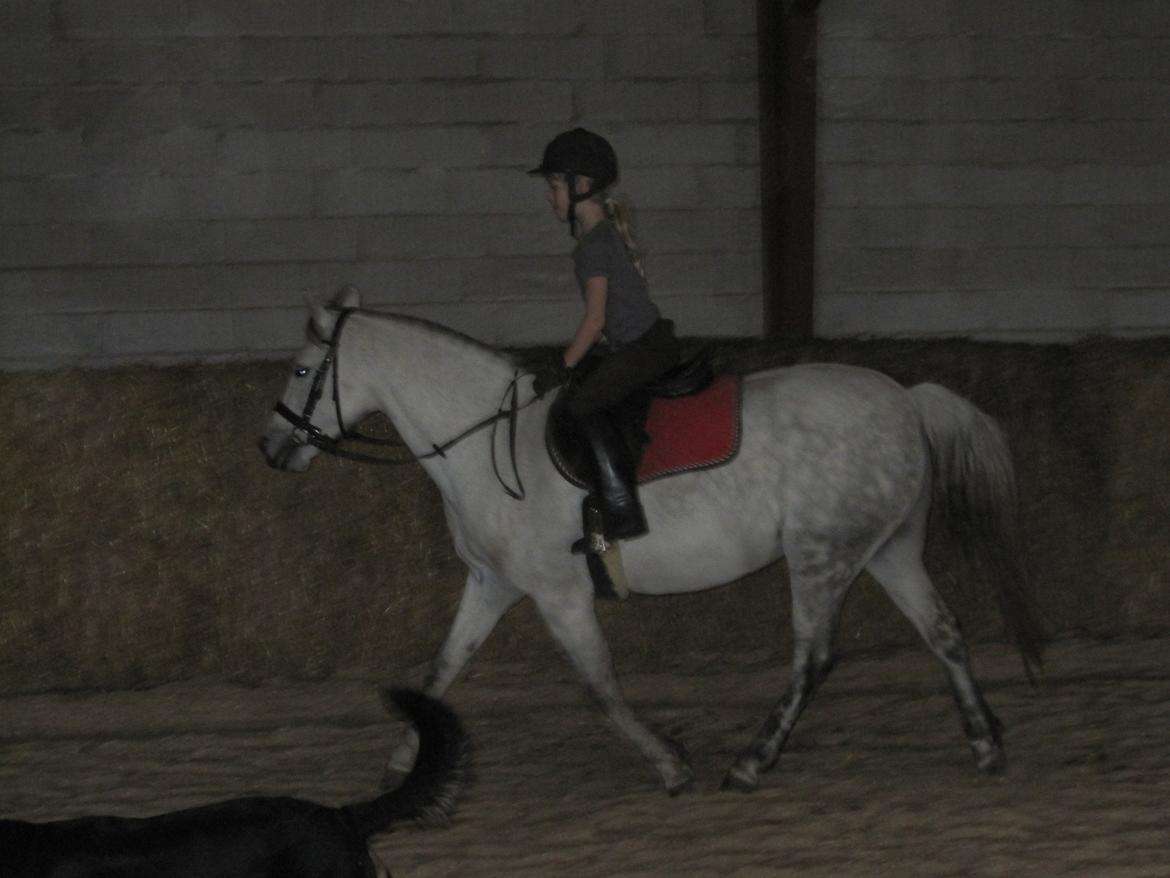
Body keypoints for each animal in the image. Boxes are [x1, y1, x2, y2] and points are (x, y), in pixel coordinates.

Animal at [259, 286, 1045, 795]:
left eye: (300, 370)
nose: (271, 448)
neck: (486, 442)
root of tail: (906, 399)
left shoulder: (558, 594)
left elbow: (599, 686)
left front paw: (670, 763)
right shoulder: (492, 585)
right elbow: (441, 669)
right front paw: (404, 761)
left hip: (822, 556)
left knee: (815, 657)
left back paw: (752, 762)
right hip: (887, 549)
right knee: (944, 632)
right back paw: (985, 743)